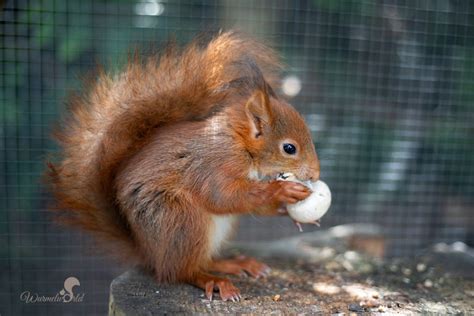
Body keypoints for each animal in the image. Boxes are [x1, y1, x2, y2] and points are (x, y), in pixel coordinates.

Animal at [48, 31, 320, 302]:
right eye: (289, 148)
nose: (316, 174)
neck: (241, 145)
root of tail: (149, 253)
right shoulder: (215, 165)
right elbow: (223, 197)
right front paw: (282, 191)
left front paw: (288, 210)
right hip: (180, 219)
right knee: (180, 272)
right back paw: (213, 280)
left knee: (201, 261)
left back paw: (234, 264)